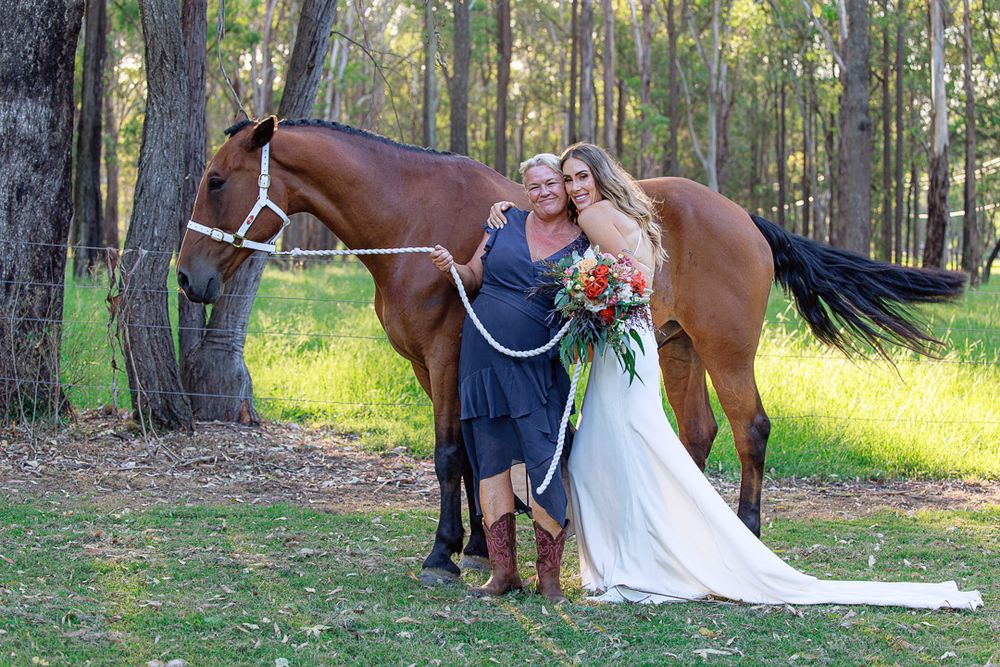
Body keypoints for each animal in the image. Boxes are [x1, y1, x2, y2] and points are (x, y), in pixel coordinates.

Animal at [176, 116, 965, 584]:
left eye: (215, 180)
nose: (189, 279)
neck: (415, 218)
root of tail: (743, 215)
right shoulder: (438, 366)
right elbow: (473, 456)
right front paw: (474, 545)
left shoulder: (447, 356)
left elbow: (448, 454)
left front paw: (441, 553)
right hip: (677, 347)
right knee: (698, 432)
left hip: (726, 349)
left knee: (751, 431)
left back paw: (746, 537)